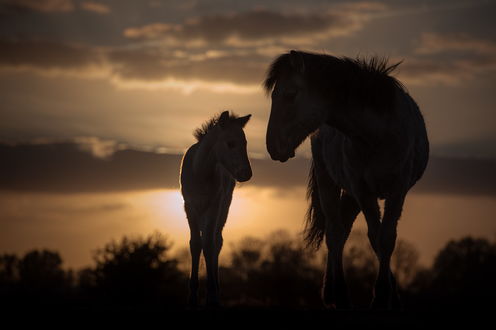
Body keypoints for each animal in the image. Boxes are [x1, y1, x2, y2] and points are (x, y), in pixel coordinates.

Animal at [179, 110, 252, 306]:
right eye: (231, 143)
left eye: (245, 143)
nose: (246, 174)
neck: (200, 173)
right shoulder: (190, 207)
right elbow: (196, 244)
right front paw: (192, 297)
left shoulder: (214, 207)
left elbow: (209, 244)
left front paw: (211, 295)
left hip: (224, 208)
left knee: (216, 241)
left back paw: (217, 291)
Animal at [264, 49, 430, 310]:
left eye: (290, 94)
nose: (273, 147)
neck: (375, 135)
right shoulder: (363, 191)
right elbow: (375, 238)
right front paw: (381, 296)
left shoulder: (397, 190)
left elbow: (385, 239)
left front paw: (387, 296)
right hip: (330, 183)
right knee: (335, 232)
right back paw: (337, 294)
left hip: (352, 195)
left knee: (344, 230)